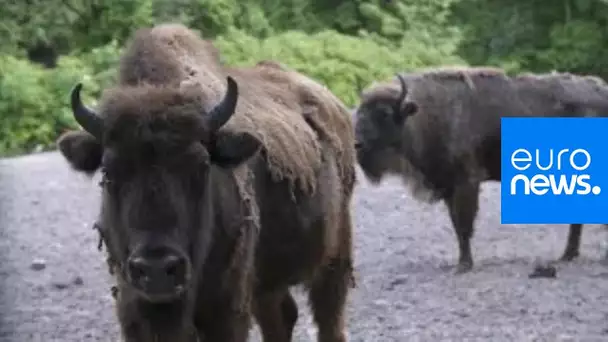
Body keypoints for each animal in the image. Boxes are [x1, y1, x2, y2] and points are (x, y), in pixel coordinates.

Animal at [55, 22, 356, 340]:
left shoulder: (224, 309)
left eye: (201, 167)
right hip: (267, 283)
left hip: (334, 256)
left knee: (328, 316)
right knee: (282, 316)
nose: (157, 269)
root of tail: (333, 103)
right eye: (108, 172)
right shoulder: (132, 306)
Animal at [352, 67, 608, 274]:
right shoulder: (449, 186)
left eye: (384, 114)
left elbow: (465, 224)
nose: (357, 144)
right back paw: (567, 255)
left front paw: (464, 265)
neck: (427, 114)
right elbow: (456, 225)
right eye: (360, 112)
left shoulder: (467, 183)